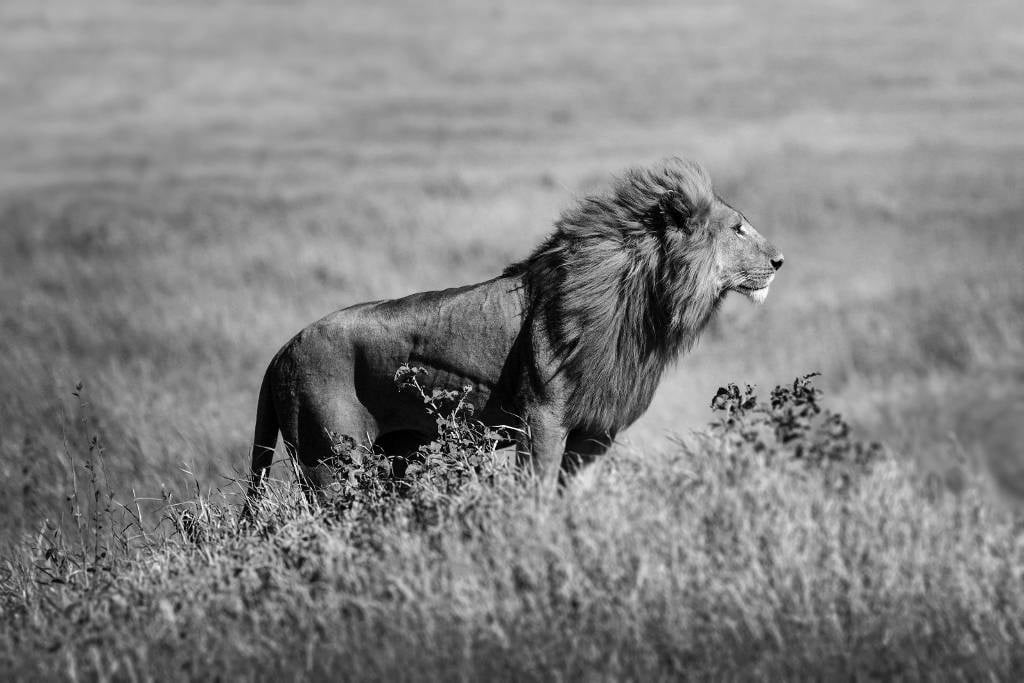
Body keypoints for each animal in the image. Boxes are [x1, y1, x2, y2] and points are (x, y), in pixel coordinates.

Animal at [243, 158, 783, 509]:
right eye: (737, 228)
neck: (642, 302)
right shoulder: (541, 419)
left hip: (392, 455)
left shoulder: (596, 433)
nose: (780, 261)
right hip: (331, 462)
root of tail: (280, 352)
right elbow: (539, 493)